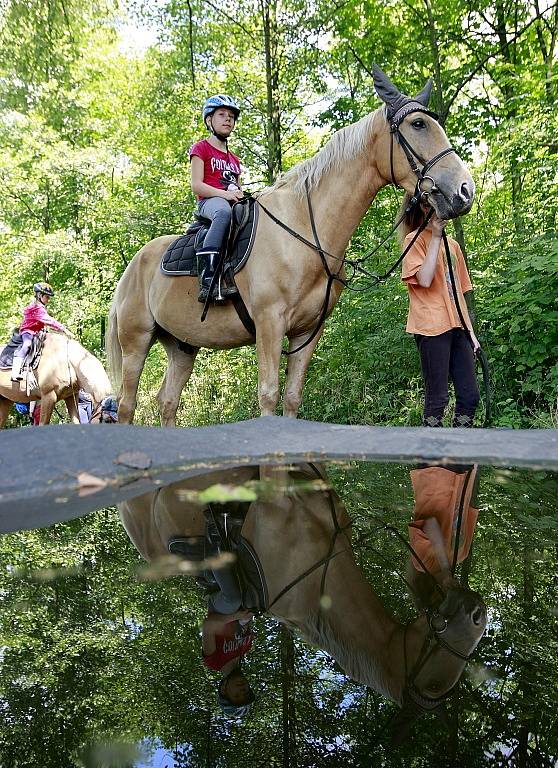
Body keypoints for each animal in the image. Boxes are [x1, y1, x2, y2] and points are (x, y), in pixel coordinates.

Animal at [108, 67, 476, 426]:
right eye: (418, 124)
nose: (464, 190)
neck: (303, 231)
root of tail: (131, 269)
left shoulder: (307, 332)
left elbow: (292, 398)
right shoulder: (269, 324)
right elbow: (269, 396)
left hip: (182, 346)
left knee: (167, 402)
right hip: (136, 341)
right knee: (127, 406)